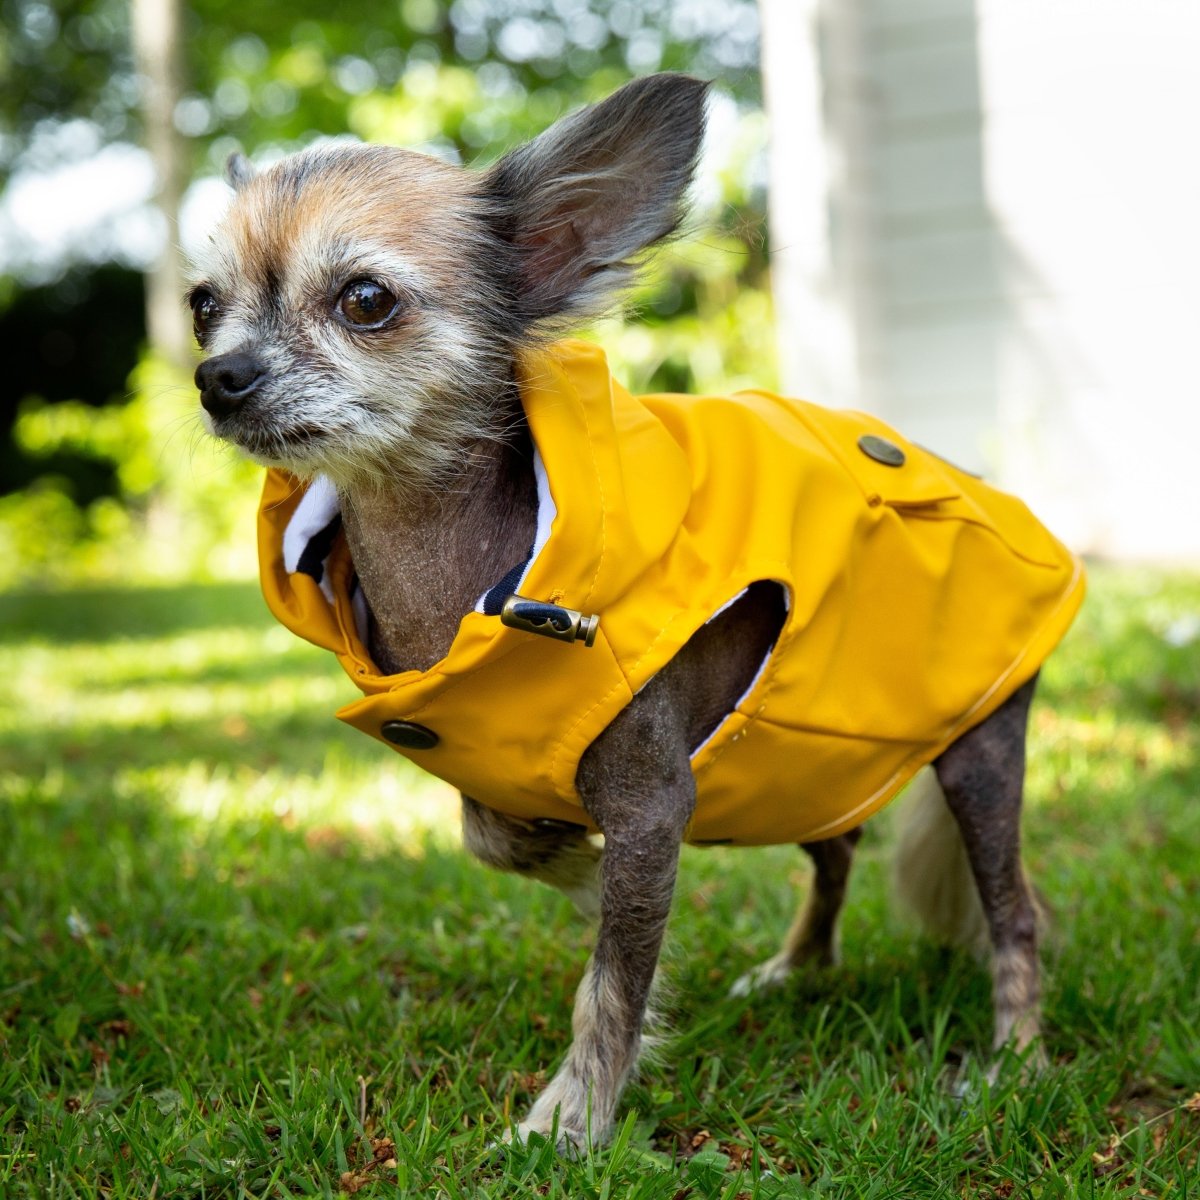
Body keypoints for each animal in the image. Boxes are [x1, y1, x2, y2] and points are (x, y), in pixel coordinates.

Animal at [189, 70, 1089, 1147]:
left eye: (365, 300)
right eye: (203, 306)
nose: (216, 376)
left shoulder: (656, 804)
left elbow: (613, 981)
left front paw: (572, 1122)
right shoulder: (496, 762)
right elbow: (493, 838)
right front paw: (572, 866)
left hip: (976, 756)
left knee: (1014, 909)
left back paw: (1016, 1060)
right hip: (798, 754)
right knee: (838, 853)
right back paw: (798, 968)